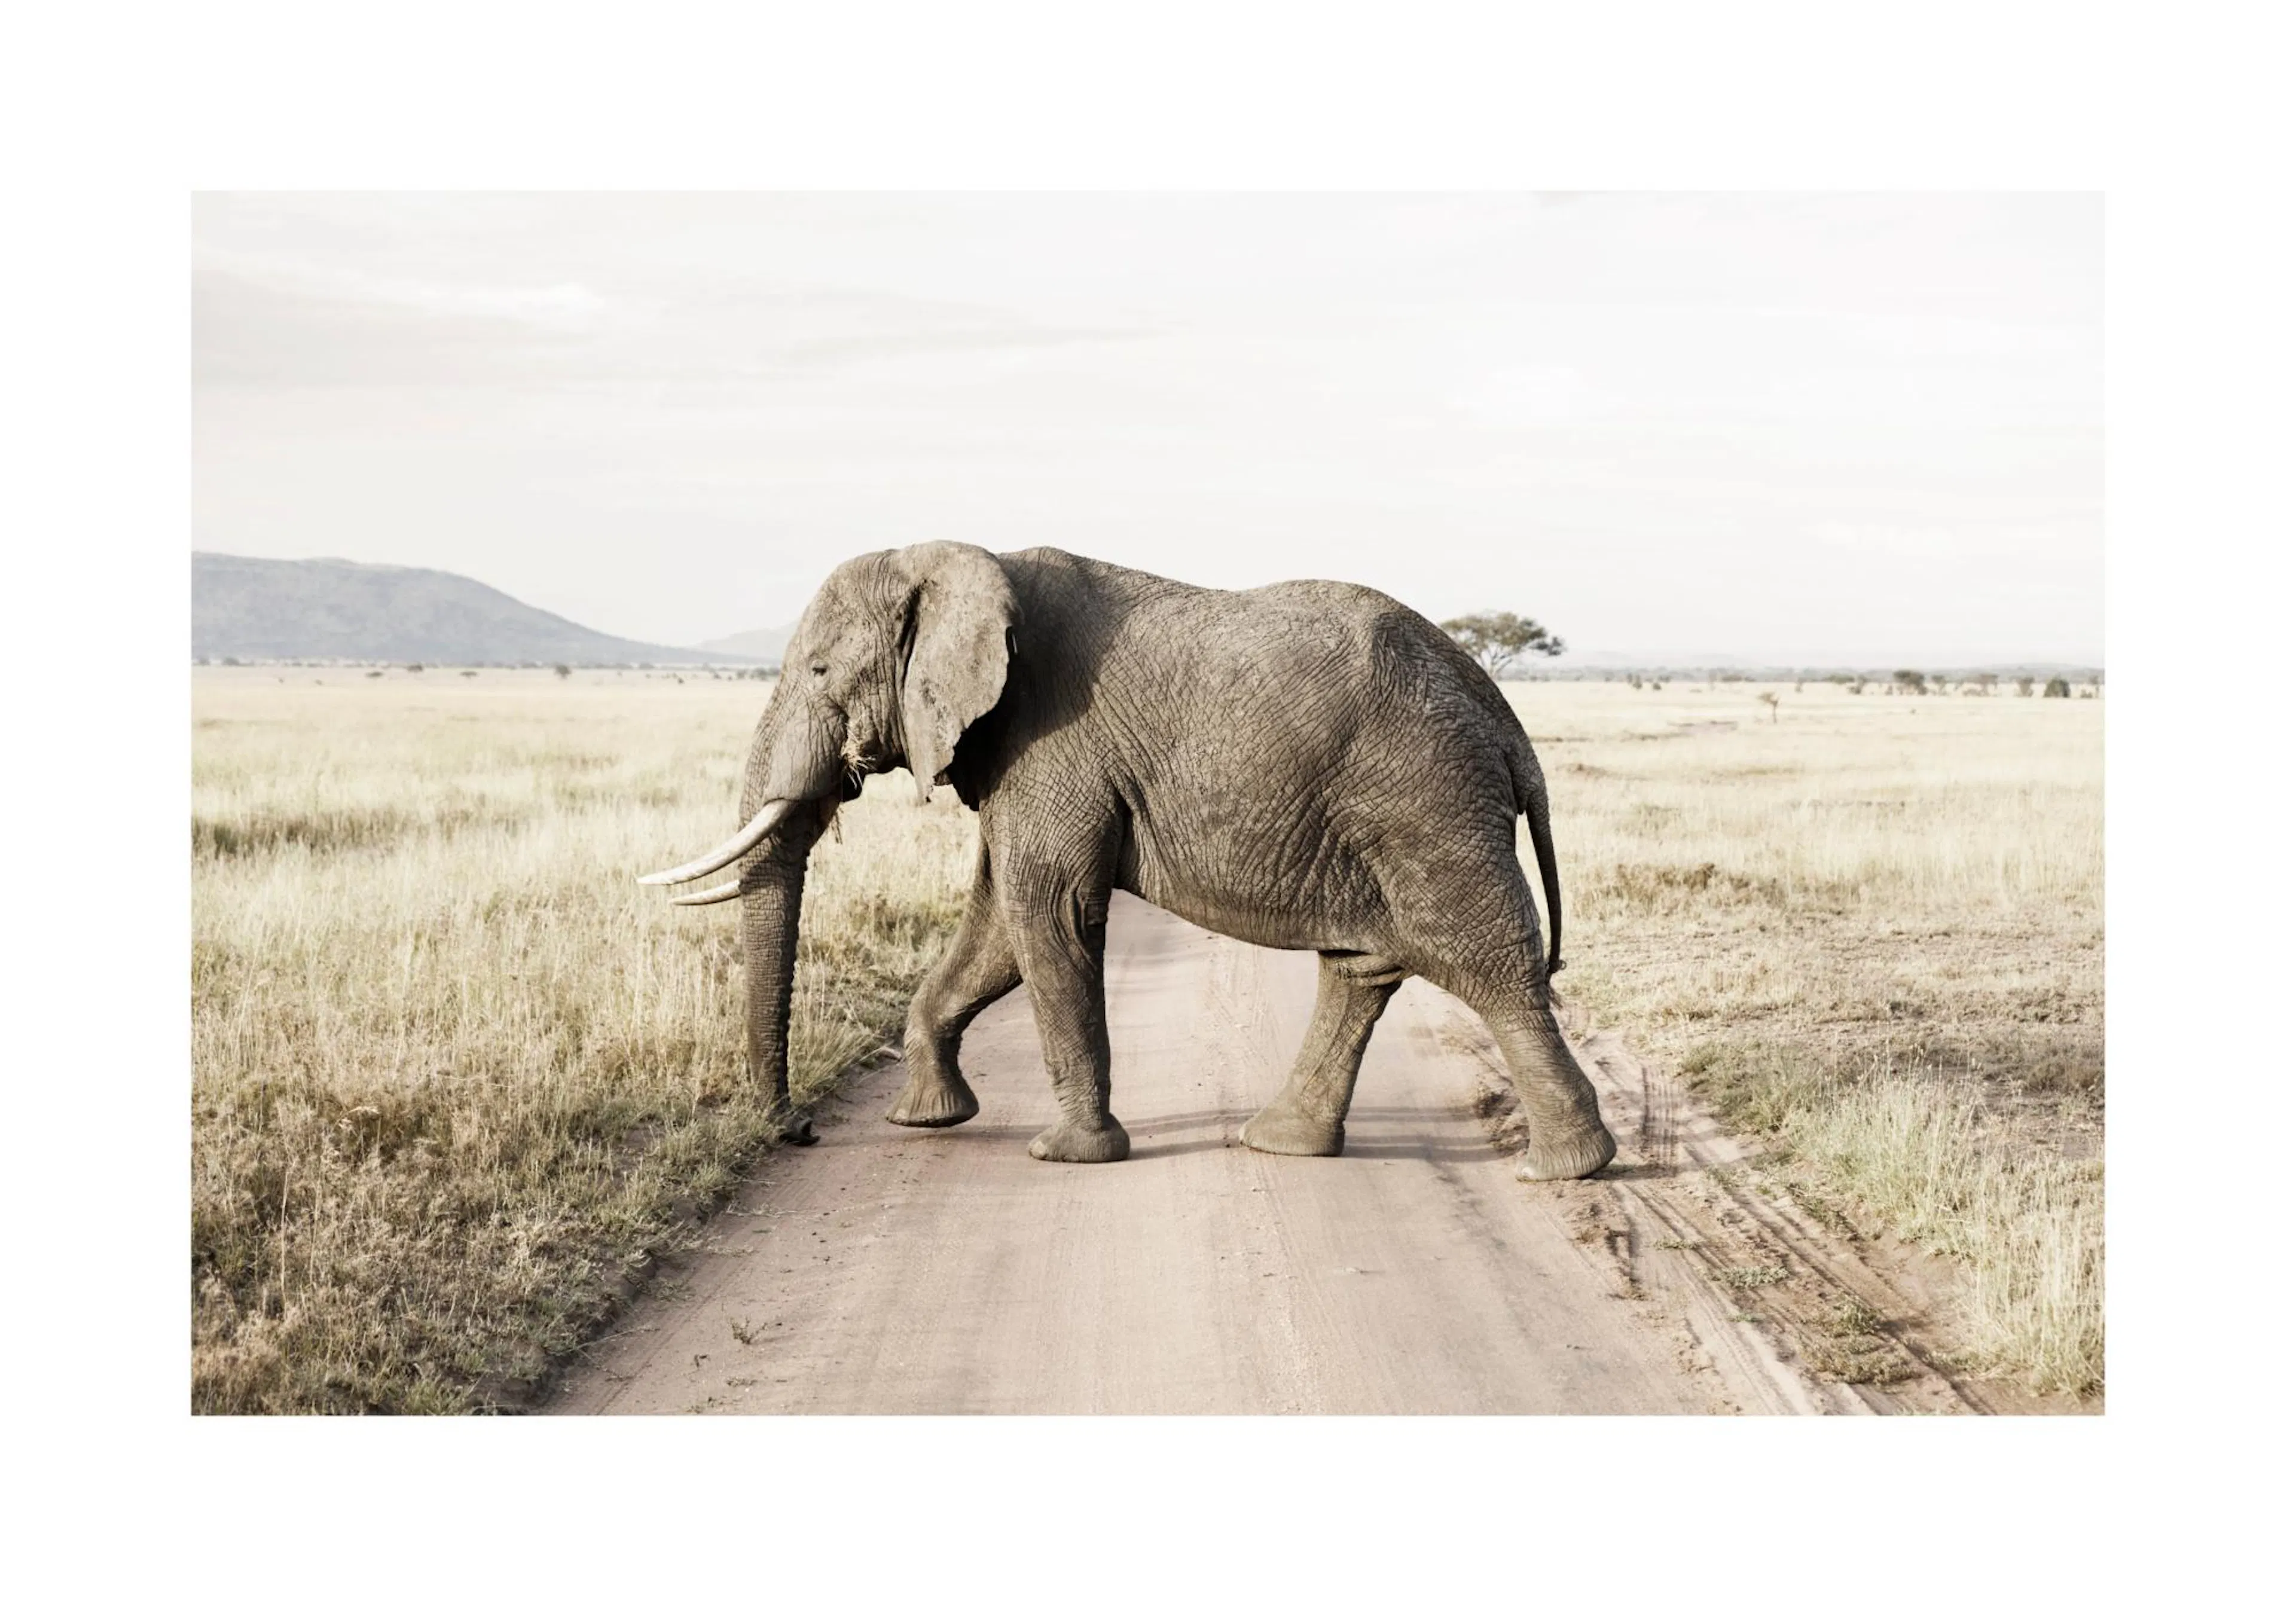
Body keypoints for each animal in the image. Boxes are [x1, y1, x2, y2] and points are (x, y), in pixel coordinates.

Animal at [640, 542, 1616, 1182]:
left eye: (816, 672)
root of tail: (1505, 719)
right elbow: (999, 926)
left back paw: (1566, 1169)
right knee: (1362, 968)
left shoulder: (1053, 743)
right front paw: (927, 1119)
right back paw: (1281, 1144)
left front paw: (1068, 1156)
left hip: (1426, 800)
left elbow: (1045, 911)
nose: (799, 1130)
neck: (961, 557)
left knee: (1486, 964)